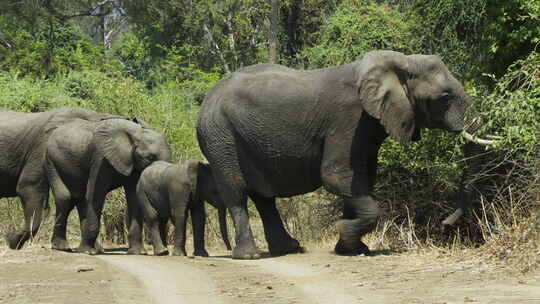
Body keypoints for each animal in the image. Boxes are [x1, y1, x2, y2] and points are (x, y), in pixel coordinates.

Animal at [46, 116, 170, 254]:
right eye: (149, 158)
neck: (135, 135)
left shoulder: (133, 163)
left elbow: (134, 198)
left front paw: (138, 252)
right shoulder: (101, 158)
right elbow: (96, 196)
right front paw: (88, 252)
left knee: (79, 198)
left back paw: (94, 249)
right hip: (52, 161)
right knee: (66, 198)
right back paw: (64, 248)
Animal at [197, 50, 472, 258]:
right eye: (445, 97)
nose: (445, 225)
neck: (400, 61)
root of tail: (206, 99)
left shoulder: (367, 127)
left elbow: (360, 178)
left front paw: (352, 249)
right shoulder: (348, 118)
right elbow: (337, 176)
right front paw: (345, 232)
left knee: (263, 197)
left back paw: (289, 249)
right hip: (219, 135)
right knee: (236, 191)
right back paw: (249, 256)